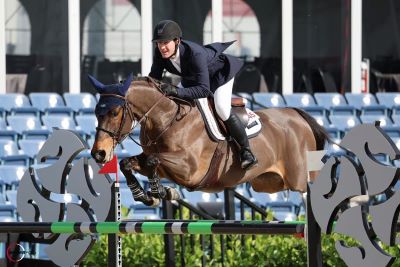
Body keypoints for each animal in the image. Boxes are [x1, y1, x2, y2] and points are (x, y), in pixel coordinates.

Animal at [92, 76, 330, 206]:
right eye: (96, 112)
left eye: (114, 112)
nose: (98, 153)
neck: (167, 118)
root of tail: (298, 115)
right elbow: (128, 163)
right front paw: (148, 196)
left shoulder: (190, 169)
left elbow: (153, 161)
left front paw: (161, 192)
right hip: (268, 183)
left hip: (300, 181)